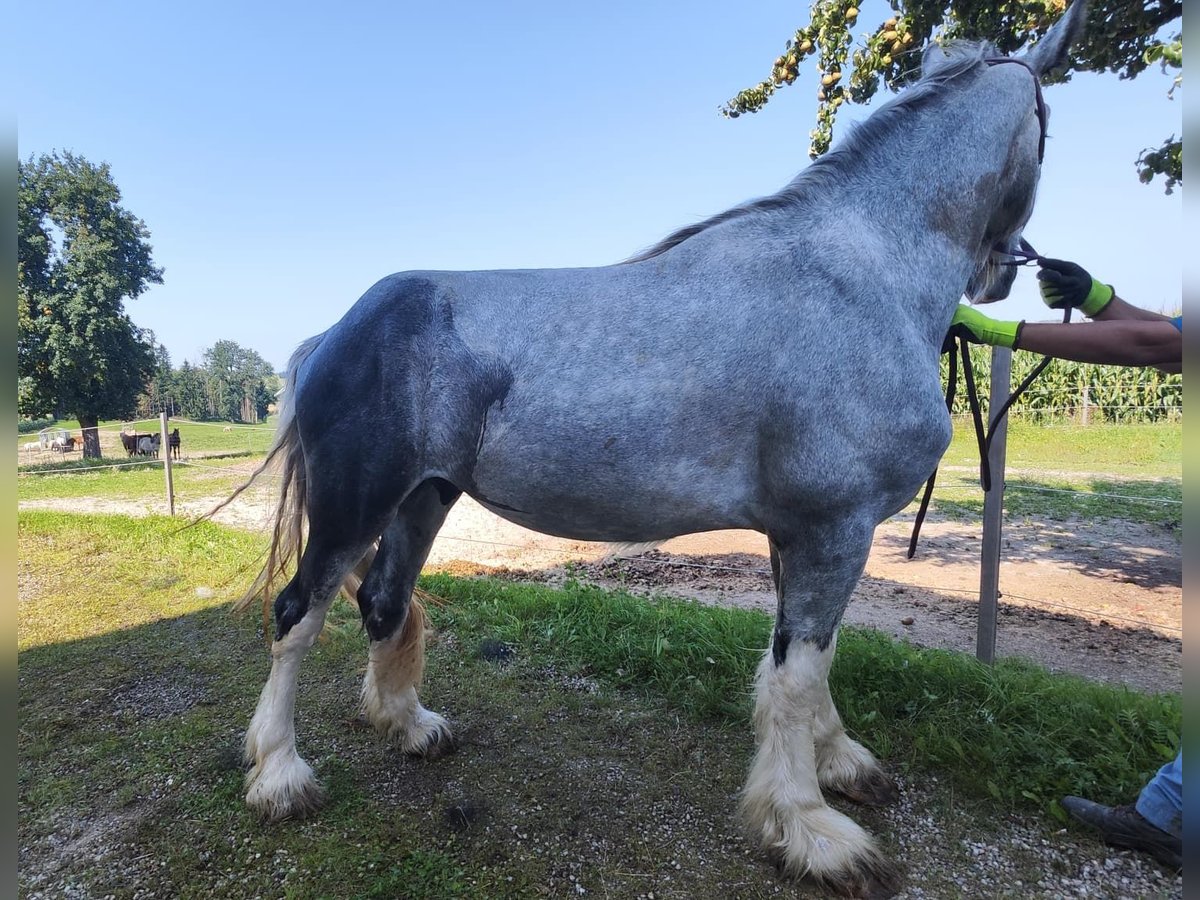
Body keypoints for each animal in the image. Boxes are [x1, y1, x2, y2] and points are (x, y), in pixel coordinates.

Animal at [225, 5, 1086, 894]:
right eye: (1049, 126)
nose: (1002, 278)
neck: (859, 272)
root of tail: (337, 331)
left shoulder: (807, 536)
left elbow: (812, 662)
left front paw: (839, 762)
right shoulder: (833, 528)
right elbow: (800, 672)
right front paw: (809, 828)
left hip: (422, 499)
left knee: (382, 602)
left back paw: (410, 726)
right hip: (353, 505)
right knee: (298, 616)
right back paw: (281, 775)